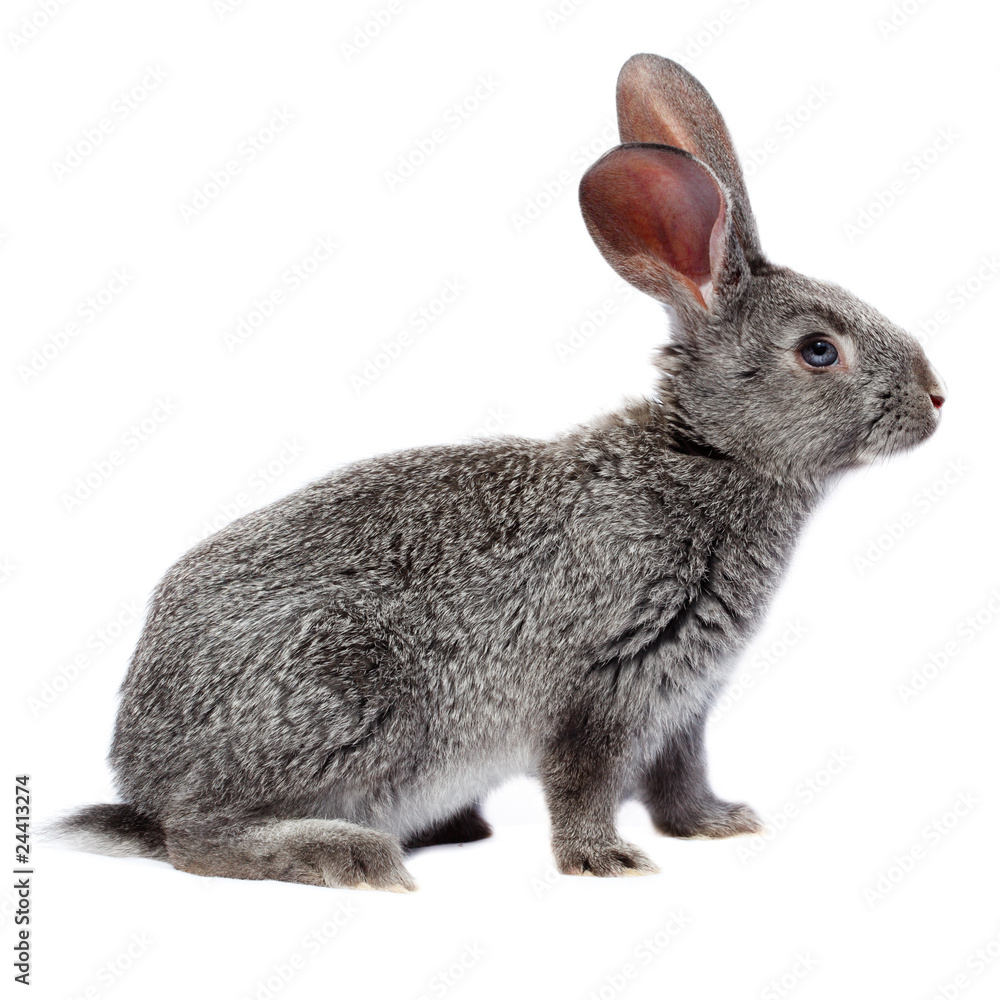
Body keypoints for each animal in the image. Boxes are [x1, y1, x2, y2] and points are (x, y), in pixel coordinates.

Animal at [55, 53, 946, 891]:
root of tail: (142, 774)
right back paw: (350, 855)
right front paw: (605, 862)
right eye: (819, 350)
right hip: (344, 695)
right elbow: (584, 782)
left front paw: (719, 825)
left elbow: (678, 779)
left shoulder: (683, 701)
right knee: (196, 839)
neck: (707, 453)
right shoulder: (604, 684)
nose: (938, 398)